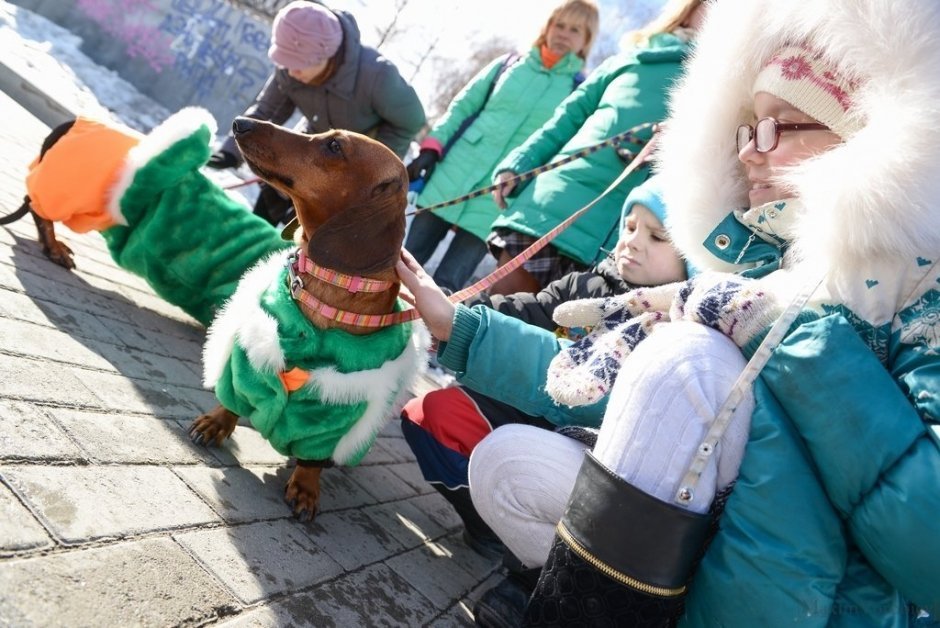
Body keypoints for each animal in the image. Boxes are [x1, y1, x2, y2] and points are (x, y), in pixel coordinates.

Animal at [193, 120, 428, 524]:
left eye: (334, 146)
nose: (241, 123)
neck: (326, 289)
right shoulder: (248, 360)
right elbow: (233, 398)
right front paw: (217, 422)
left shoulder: (337, 409)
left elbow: (315, 457)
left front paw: (306, 485)